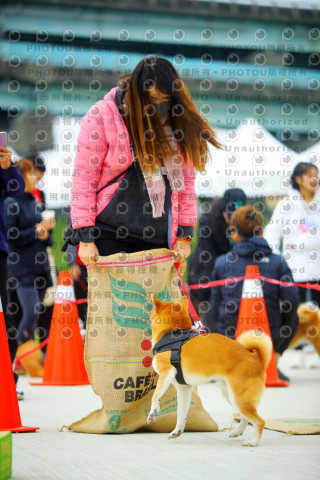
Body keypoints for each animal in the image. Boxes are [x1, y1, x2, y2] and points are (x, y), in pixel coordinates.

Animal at [148, 294, 272, 448]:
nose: (148, 315)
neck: (172, 334)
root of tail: (256, 358)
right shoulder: (184, 389)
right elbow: (181, 414)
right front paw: (177, 431)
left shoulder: (166, 373)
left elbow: (155, 396)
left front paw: (153, 412)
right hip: (231, 395)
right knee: (245, 418)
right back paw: (238, 432)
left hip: (239, 398)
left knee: (260, 421)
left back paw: (253, 442)